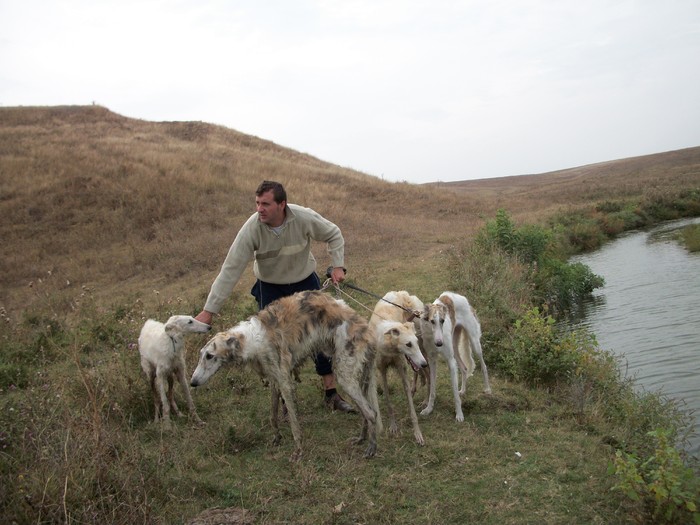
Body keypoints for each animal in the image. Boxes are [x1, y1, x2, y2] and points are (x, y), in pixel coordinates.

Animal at [189, 288, 380, 460]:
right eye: (201, 355)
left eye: (209, 356)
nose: (192, 382)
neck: (252, 340)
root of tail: (367, 330)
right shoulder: (274, 379)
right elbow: (273, 415)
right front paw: (277, 438)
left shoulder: (285, 382)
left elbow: (295, 424)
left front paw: (298, 451)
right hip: (357, 376)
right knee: (366, 412)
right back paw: (361, 439)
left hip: (344, 375)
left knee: (371, 414)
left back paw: (371, 448)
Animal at [370, 292, 430, 444]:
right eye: (408, 344)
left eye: (414, 342)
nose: (423, 364)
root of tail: (402, 293)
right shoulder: (382, 371)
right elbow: (388, 400)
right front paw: (393, 426)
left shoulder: (402, 368)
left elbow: (412, 409)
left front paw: (417, 433)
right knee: (420, 372)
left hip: (422, 351)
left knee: (429, 374)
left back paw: (427, 401)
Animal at [418, 290, 494, 422]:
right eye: (432, 321)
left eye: (442, 321)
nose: (439, 343)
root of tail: (463, 298)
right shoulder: (432, 360)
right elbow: (432, 389)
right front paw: (428, 409)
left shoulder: (450, 361)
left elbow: (454, 393)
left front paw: (459, 414)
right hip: (455, 348)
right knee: (464, 368)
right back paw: (462, 390)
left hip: (474, 343)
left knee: (483, 366)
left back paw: (487, 389)